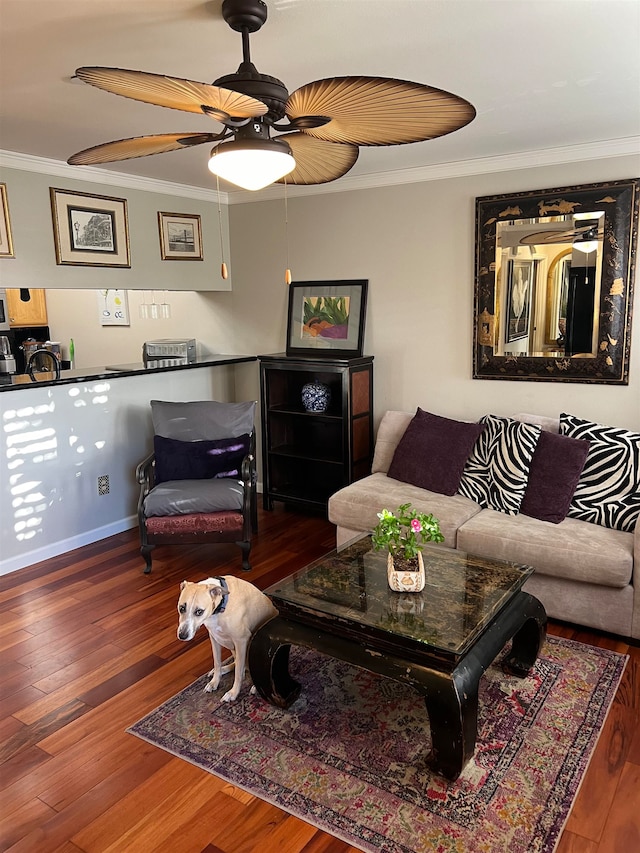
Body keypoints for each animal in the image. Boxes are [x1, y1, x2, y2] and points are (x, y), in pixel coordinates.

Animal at [176, 576, 276, 704]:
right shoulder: (214, 638)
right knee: (238, 664)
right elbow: (217, 662)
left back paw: (256, 686)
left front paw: (233, 693)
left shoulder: (241, 641)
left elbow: (238, 673)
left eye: (199, 611)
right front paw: (215, 681)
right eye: (182, 608)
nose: (182, 635)